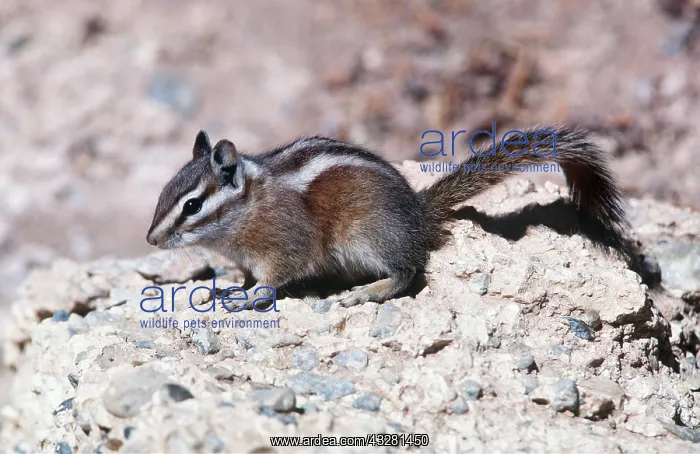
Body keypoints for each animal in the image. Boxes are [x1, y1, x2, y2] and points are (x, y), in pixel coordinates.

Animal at [147, 126, 634, 308]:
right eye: (165, 191)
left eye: (192, 205)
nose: (151, 240)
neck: (248, 209)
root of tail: (418, 214)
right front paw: (225, 288)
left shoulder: (284, 245)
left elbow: (273, 279)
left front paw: (248, 297)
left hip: (366, 235)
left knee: (407, 272)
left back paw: (368, 291)